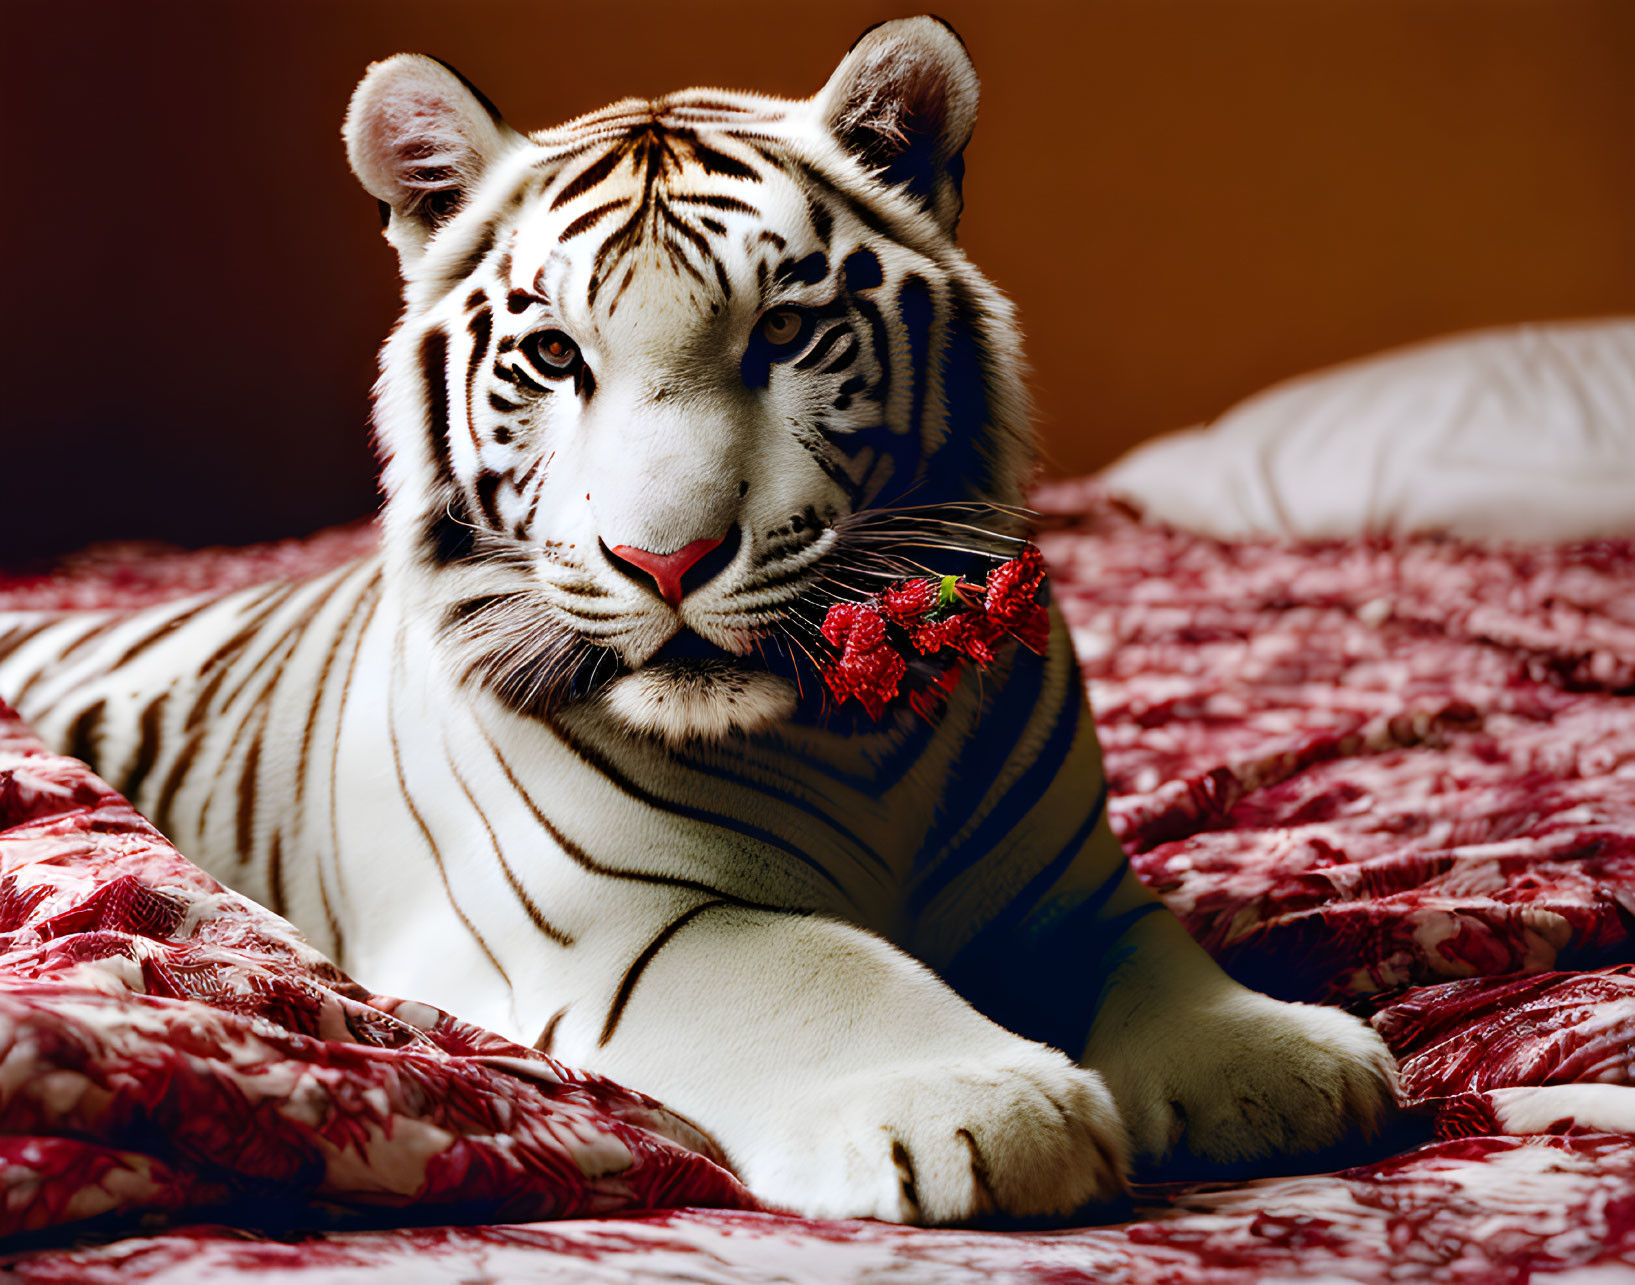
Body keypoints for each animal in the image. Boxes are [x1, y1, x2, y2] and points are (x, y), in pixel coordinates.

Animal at [3, 20, 1393, 1222]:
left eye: (784, 330)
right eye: (556, 357)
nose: (664, 560)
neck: (859, 724)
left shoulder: (1071, 891)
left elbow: (1157, 950)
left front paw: (1275, 1063)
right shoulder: (614, 927)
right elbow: (813, 962)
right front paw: (980, 1105)